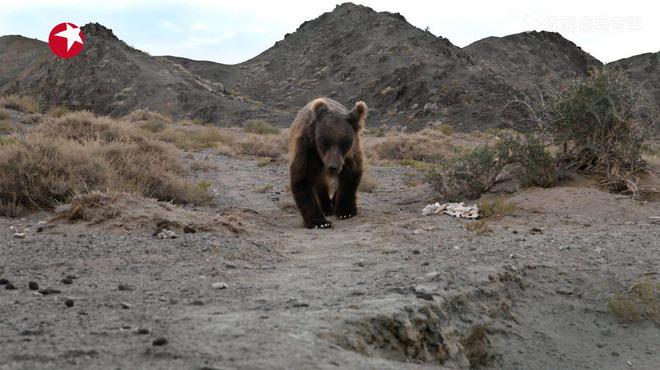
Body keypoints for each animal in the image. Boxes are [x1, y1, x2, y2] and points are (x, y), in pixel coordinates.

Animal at [288, 97, 368, 227]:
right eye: (324, 141)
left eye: (344, 142)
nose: (332, 167)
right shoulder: (308, 148)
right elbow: (303, 178)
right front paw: (320, 222)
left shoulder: (350, 153)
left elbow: (351, 175)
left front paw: (345, 212)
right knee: (320, 182)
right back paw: (326, 207)